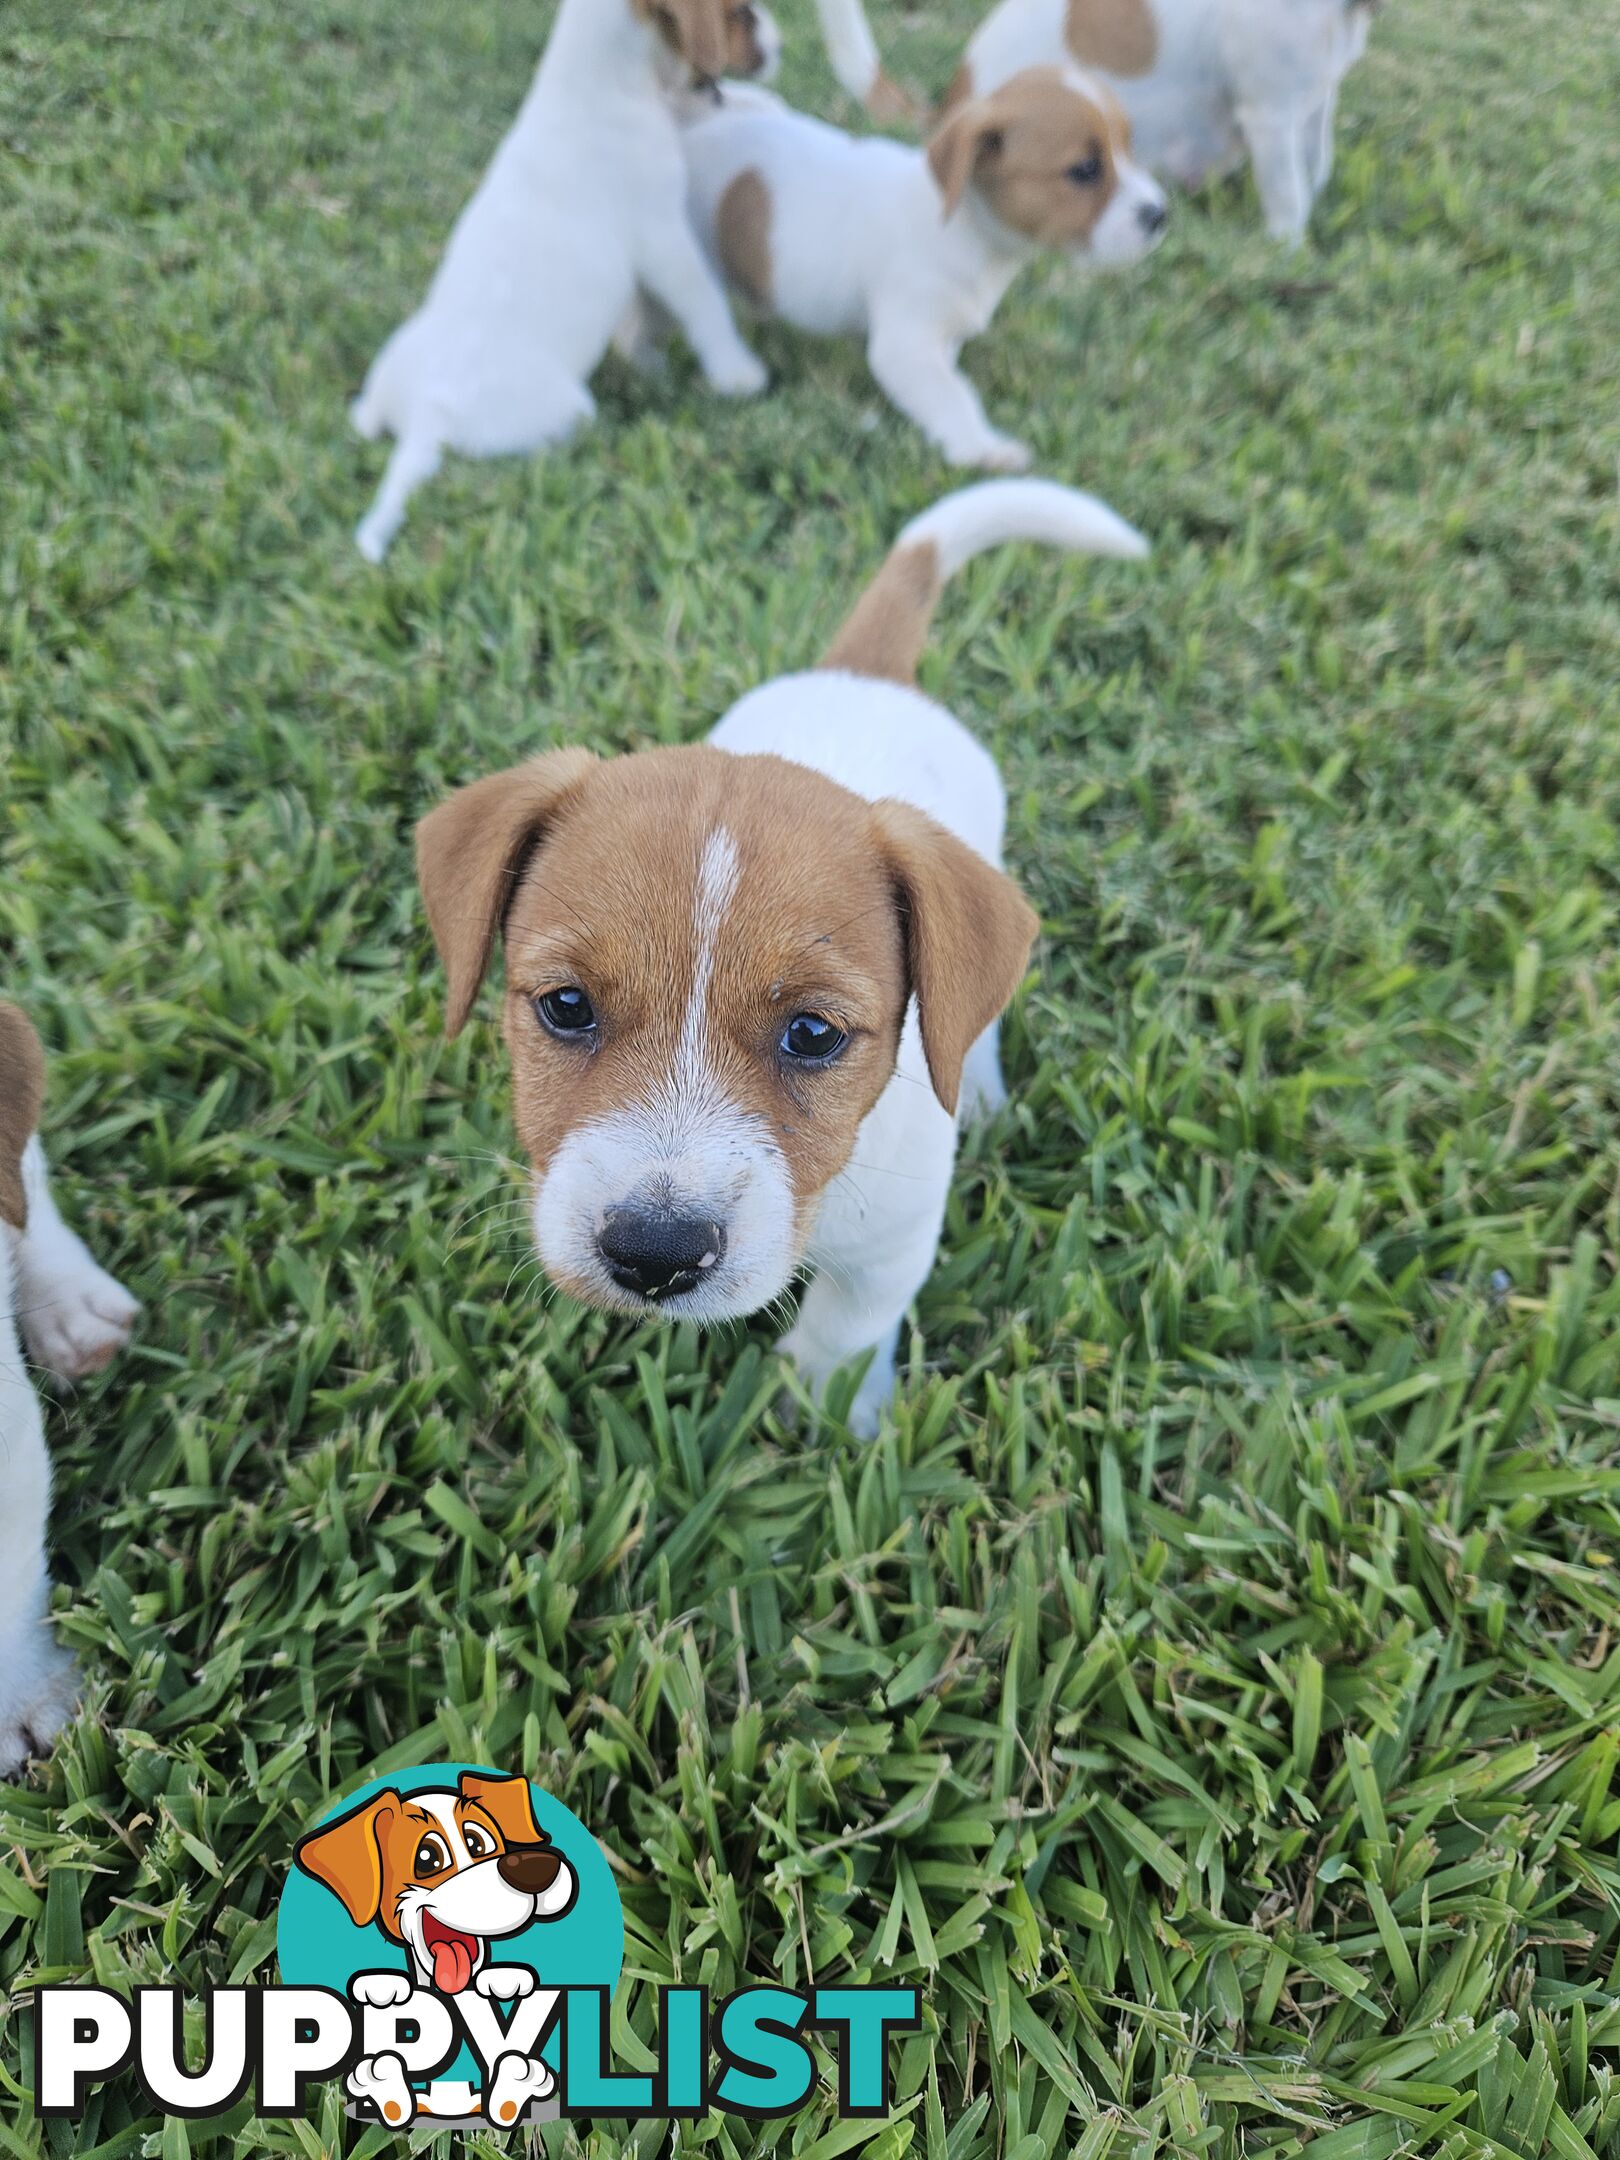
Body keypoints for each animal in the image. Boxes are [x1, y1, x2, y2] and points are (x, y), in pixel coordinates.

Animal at [354, 0, 781, 565]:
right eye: (738, 14)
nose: (779, 43)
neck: (594, 87)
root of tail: (428, 414)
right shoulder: (663, 237)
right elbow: (705, 307)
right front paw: (737, 375)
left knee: (364, 417)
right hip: (570, 408)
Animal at [419, 481, 1157, 1442]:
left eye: (812, 1034)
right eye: (566, 1007)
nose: (655, 1256)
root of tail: (867, 675)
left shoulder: (893, 1243)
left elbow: (846, 1327)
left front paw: (823, 1410)